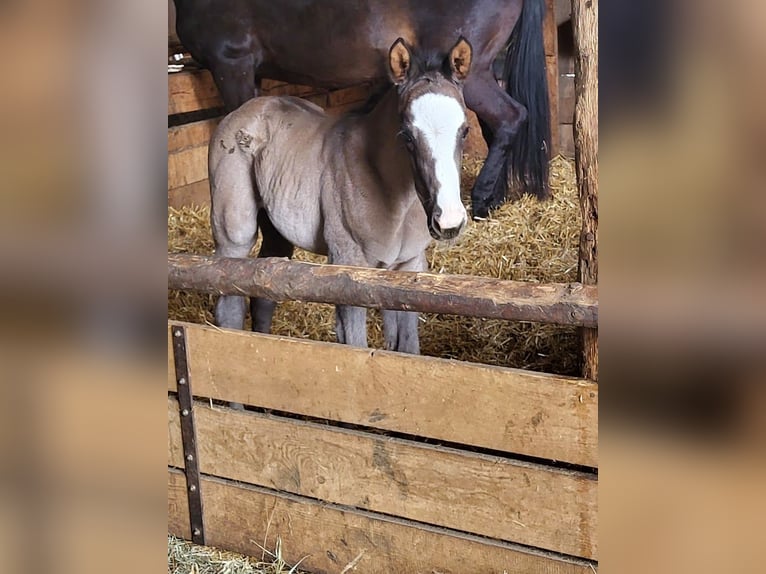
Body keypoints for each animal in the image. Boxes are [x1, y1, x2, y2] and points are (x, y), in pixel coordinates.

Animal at [212, 37, 474, 356]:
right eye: (407, 136)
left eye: (465, 130)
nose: (449, 222)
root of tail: (244, 110)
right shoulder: (346, 271)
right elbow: (354, 345)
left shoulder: (408, 268)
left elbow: (406, 347)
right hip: (234, 235)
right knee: (229, 304)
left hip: (275, 230)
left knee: (263, 290)